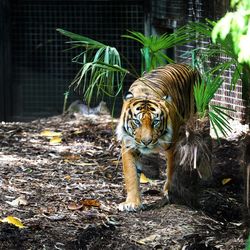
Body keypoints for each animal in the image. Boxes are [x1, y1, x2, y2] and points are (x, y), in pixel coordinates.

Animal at [115, 64, 199, 211]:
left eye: (155, 122)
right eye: (137, 122)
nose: (146, 142)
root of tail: (189, 66)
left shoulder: (172, 145)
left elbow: (171, 170)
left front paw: (169, 192)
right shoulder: (129, 145)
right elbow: (131, 174)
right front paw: (132, 203)